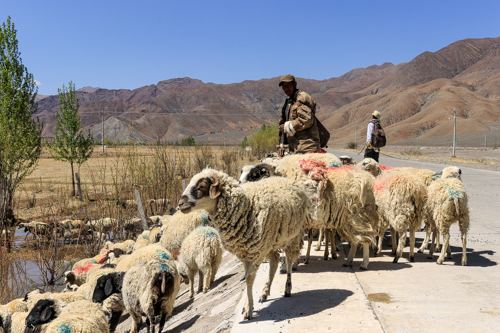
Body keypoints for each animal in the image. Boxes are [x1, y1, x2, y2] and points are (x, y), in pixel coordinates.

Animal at [178, 169, 306, 320]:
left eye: (202, 186)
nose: (180, 204)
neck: (246, 208)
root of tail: (288, 180)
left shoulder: (256, 252)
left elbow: (249, 279)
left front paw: (248, 310)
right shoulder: (246, 252)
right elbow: (246, 278)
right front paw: (247, 306)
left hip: (292, 236)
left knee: (290, 260)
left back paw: (287, 288)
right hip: (271, 242)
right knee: (274, 263)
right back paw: (264, 292)